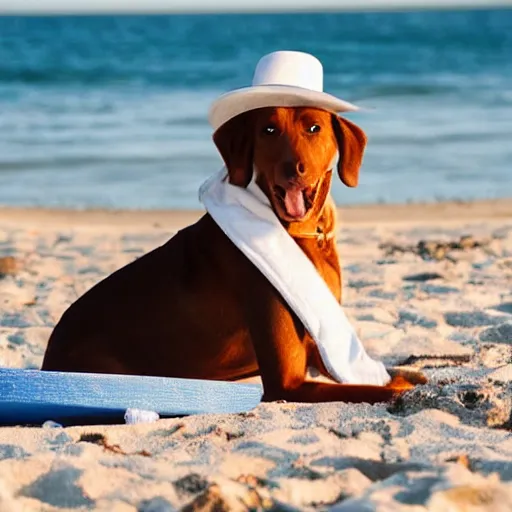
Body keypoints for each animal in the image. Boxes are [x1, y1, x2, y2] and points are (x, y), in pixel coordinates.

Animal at [41, 107, 424, 404]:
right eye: (268, 129)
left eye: (314, 128)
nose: (292, 169)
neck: (300, 234)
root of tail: (47, 359)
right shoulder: (287, 382)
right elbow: (386, 389)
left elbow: (388, 374)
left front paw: (412, 374)